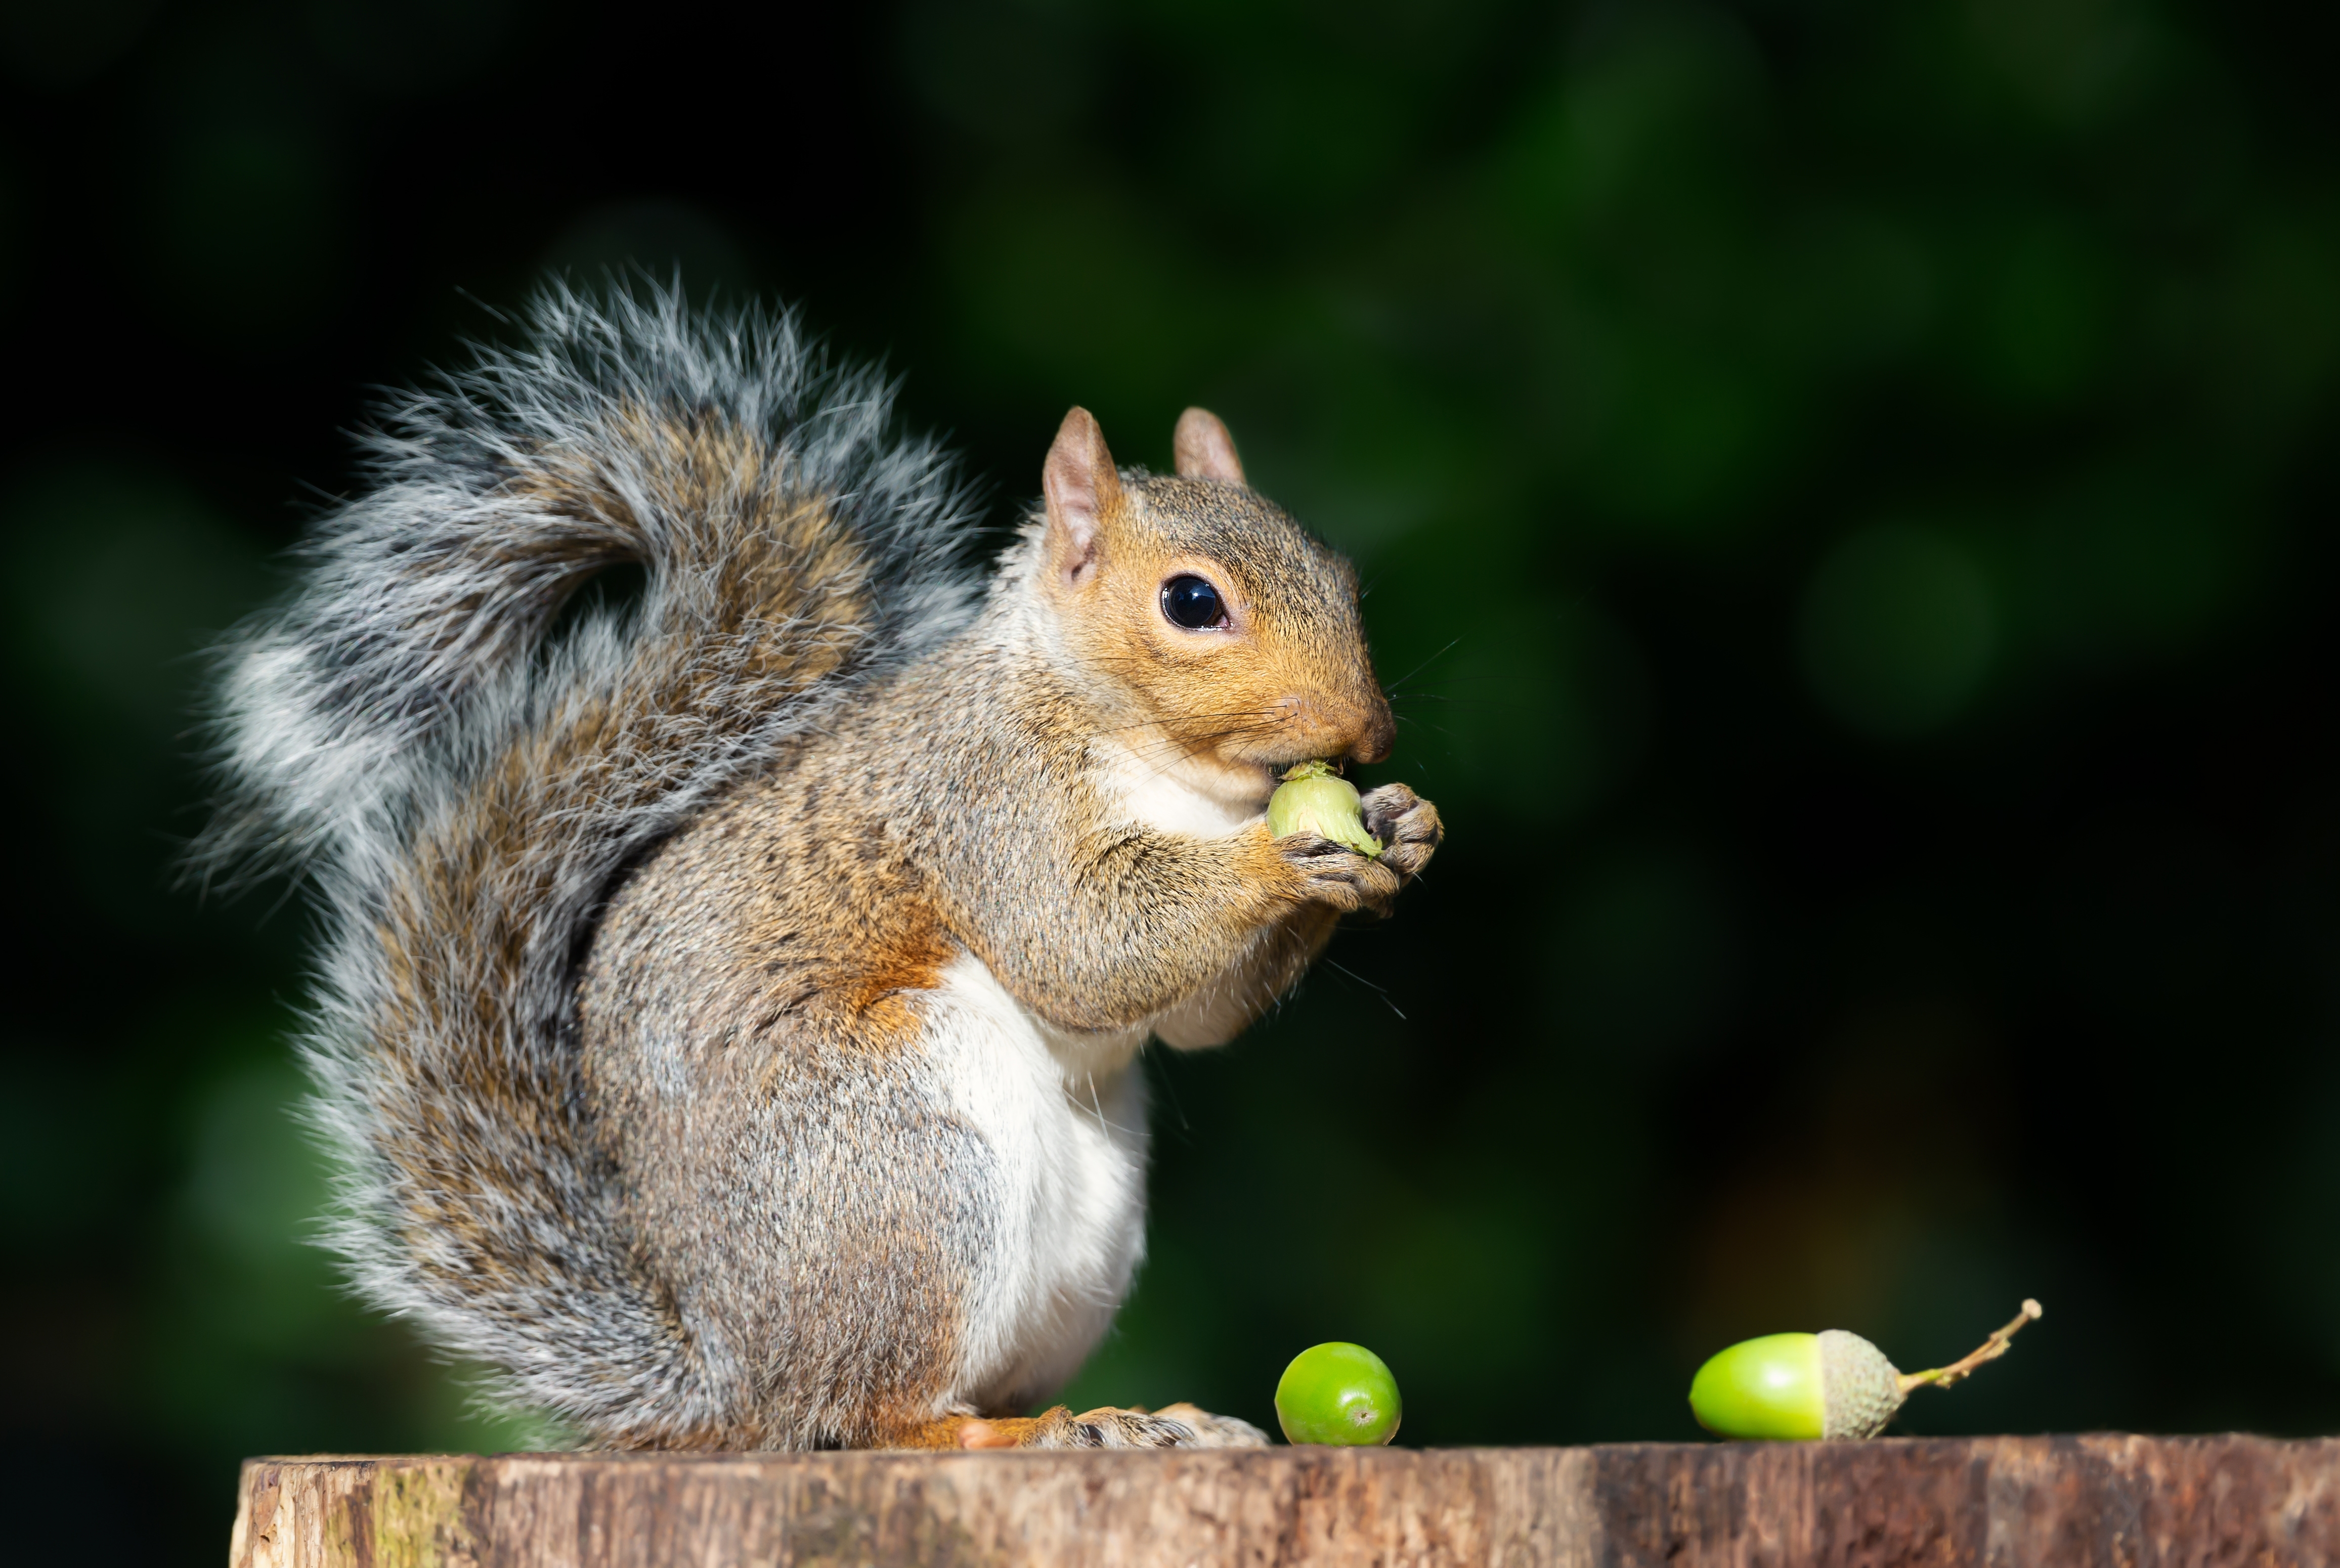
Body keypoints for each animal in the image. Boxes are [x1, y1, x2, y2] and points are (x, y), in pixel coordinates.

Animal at [196, 283, 1441, 1451]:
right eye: (1191, 601)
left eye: (1339, 574)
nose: (1369, 733)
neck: (1175, 774)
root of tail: (727, 1376)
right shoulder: (985, 798)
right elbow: (1081, 944)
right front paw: (1287, 852)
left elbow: (1193, 1021)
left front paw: (1402, 824)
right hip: (903, 1163)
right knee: (877, 1413)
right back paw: (1018, 1430)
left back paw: (1148, 1418)